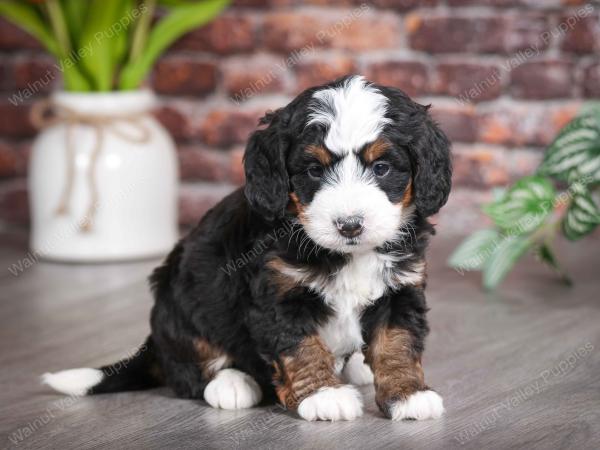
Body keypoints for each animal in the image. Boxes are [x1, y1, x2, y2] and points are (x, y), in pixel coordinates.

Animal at [42, 74, 452, 422]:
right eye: (314, 171)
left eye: (382, 168)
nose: (349, 225)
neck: (347, 254)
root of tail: (155, 345)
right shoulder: (277, 293)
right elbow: (300, 345)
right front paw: (323, 395)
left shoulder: (401, 288)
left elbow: (397, 343)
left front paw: (408, 394)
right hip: (179, 300)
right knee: (192, 368)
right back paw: (232, 383)